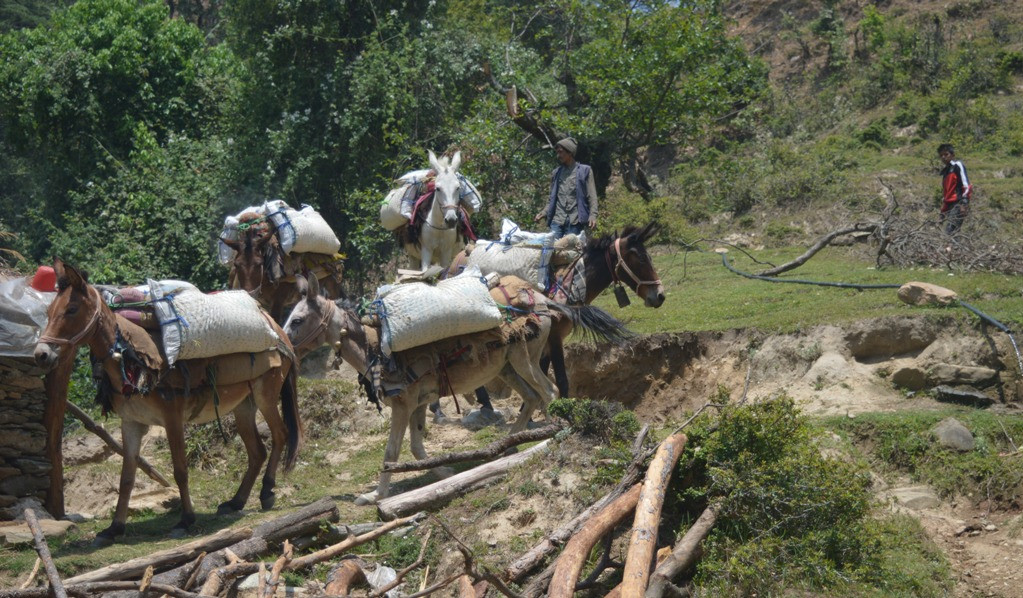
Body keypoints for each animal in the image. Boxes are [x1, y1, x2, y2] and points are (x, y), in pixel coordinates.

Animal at [32, 258, 302, 543]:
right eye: (49, 310)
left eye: (71, 309)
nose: (41, 355)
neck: (131, 358)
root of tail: (278, 331)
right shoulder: (131, 423)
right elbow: (126, 478)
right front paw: (115, 527)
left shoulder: (172, 419)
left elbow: (180, 470)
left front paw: (186, 520)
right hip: (244, 406)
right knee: (257, 451)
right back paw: (236, 502)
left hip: (266, 395)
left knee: (281, 434)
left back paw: (267, 492)